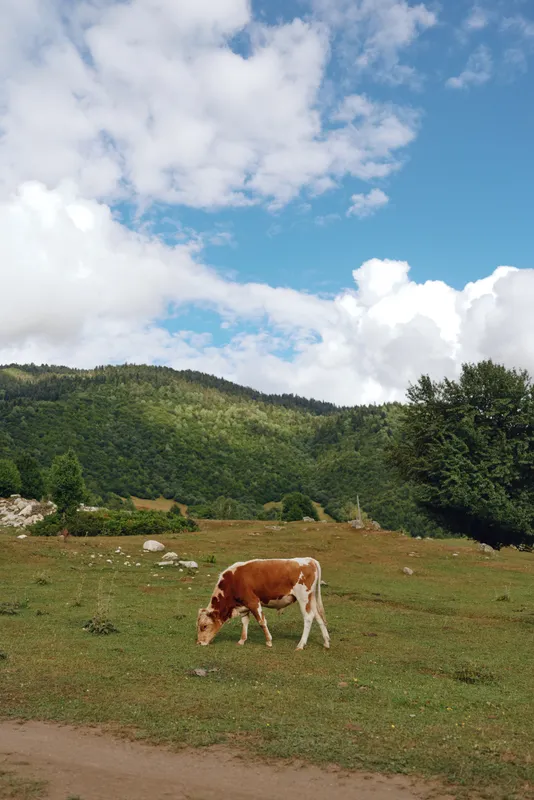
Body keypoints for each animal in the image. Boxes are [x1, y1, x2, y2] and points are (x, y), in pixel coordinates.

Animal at [196, 557, 330, 650]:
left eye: (204, 626)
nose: (199, 643)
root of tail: (309, 559)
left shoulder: (253, 601)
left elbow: (261, 621)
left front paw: (269, 641)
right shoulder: (244, 605)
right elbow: (244, 622)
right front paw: (242, 640)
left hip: (303, 597)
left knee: (308, 617)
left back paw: (301, 645)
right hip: (311, 598)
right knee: (318, 616)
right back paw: (326, 642)